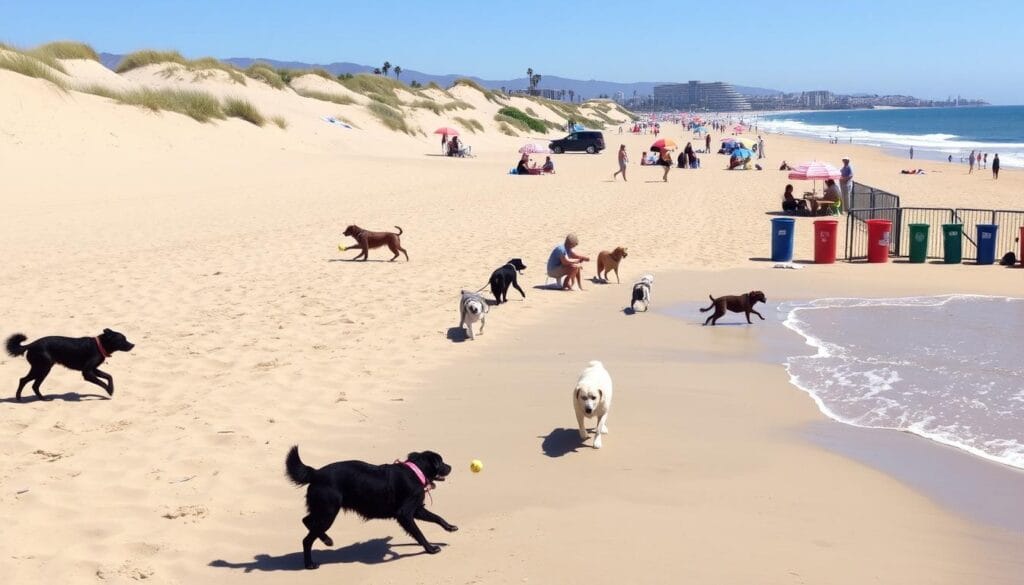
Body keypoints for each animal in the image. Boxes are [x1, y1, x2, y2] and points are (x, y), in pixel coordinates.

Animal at [5, 329, 134, 403]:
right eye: (122, 339)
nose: (133, 345)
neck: (100, 345)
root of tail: (31, 344)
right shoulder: (87, 372)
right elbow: (102, 382)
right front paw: (108, 391)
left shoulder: (93, 369)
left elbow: (108, 376)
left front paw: (111, 388)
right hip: (42, 368)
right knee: (26, 381)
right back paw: (23, 398)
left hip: (40, 369)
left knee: (30, 383)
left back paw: (38, 398)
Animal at [282, 446, 454, 569]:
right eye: (441, 462)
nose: (451, 466)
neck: (416, 471)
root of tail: (316, 474)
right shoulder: (405, 514)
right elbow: (419, 533)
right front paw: (430, 549)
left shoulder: (417, 509)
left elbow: (437, 517)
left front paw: (450, 527)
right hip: (328, 512)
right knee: (307, 539)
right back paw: (311, 562)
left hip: (321, 509)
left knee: (307, 521)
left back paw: (325, 539)